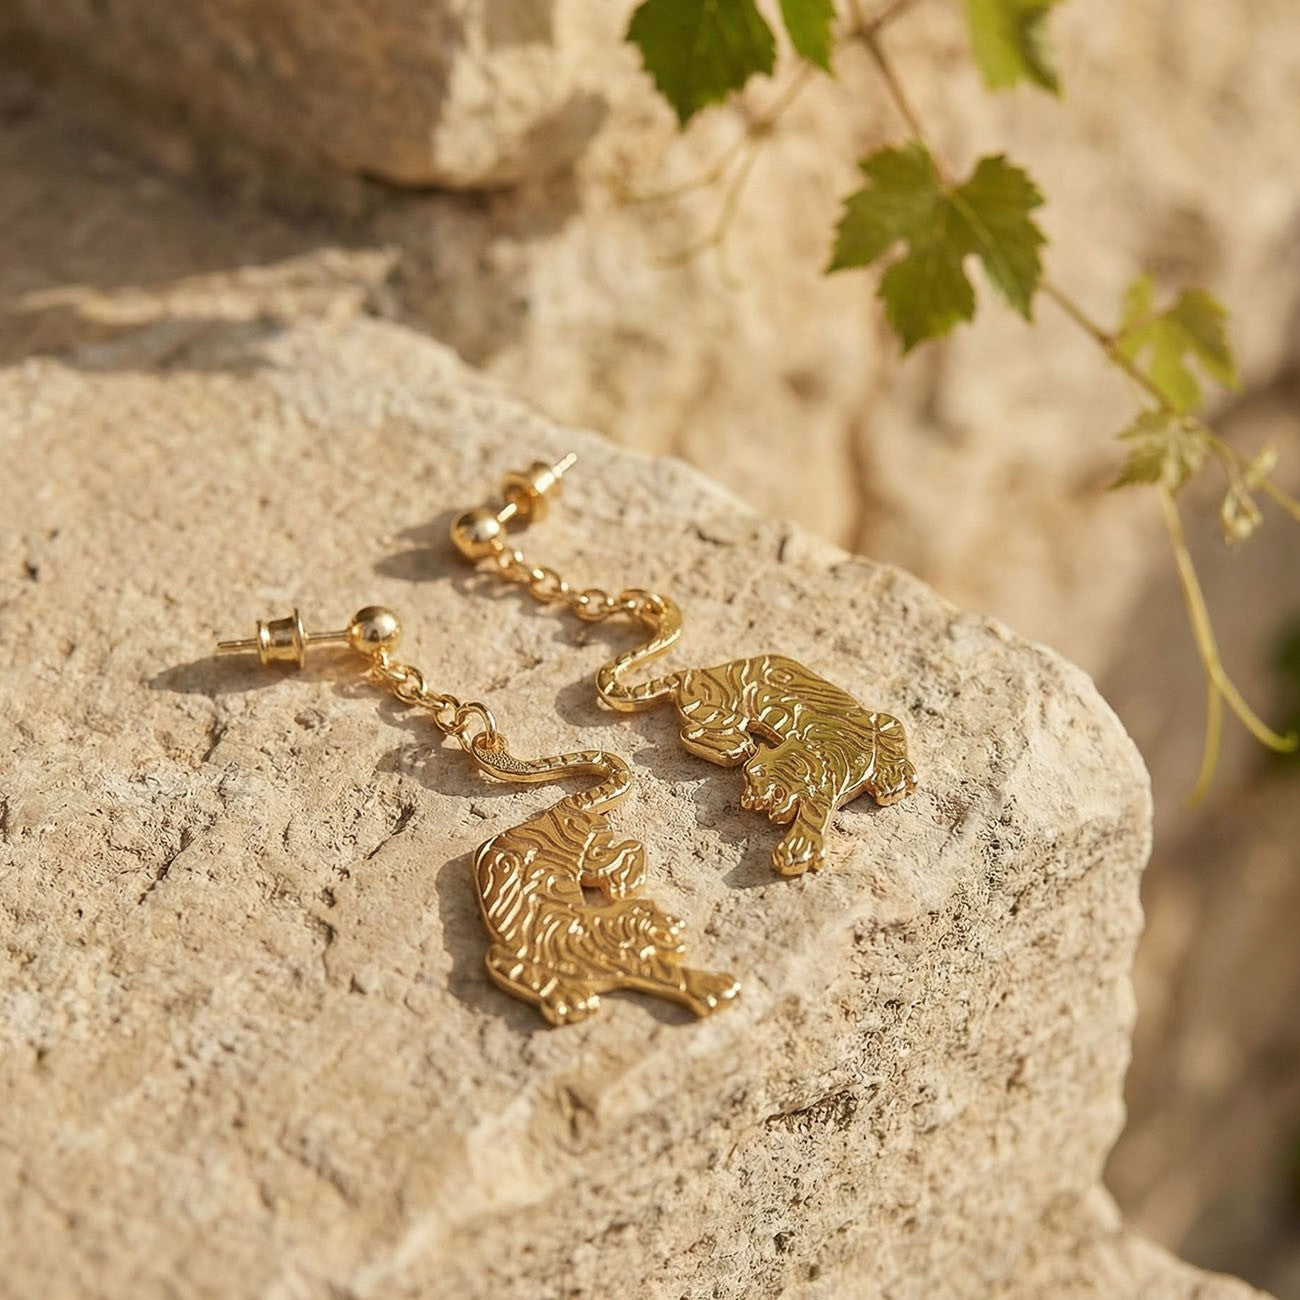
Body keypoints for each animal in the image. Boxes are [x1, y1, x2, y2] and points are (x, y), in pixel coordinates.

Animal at [471, 742, 740, 1025]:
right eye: (651, 913)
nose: (679, 923)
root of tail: (557, 808)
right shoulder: (508, 953)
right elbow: (527, 971)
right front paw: (570, 998)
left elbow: (667, 972)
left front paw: (712, 986)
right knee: (626, 850)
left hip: (591, 848)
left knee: (629, 848)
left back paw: (624, 883)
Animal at [596, 595, 917, 876]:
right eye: (749, 778)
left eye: (763, 779)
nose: (749, 801)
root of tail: (692, 673)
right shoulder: (828, 784)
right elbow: (815, 813)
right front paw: (798, 850)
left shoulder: (880, 723)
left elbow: (893, 740)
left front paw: (894, 778)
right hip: (722, 711)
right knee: (693, 732)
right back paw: (737, 746)